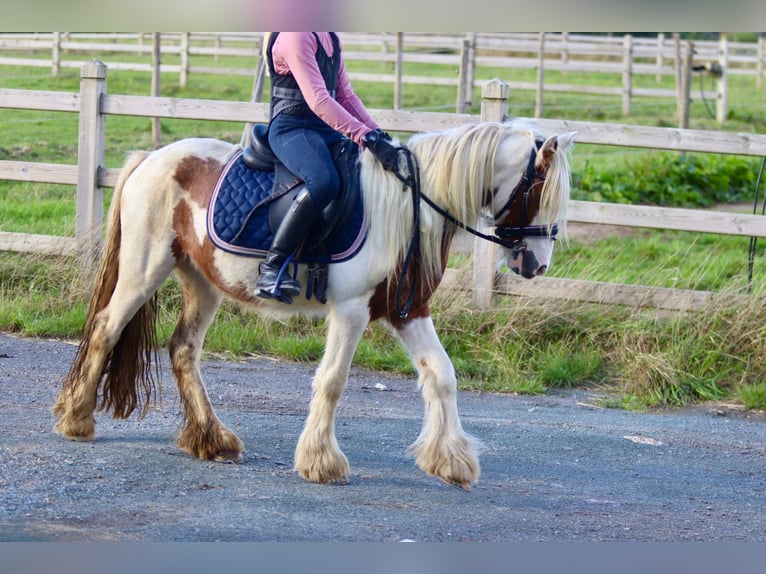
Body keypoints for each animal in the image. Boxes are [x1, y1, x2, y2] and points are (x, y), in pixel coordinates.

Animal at [51, 120, 572, 490]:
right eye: (537, 192)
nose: (538, 265)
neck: (409, 207)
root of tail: (151, 159)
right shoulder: (352, 309)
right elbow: (333, 380)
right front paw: (322, 462)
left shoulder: (408, 312)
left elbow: (442, 375)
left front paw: (452, 461)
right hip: (145, 270)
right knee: (106, 329)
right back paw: (77, 419)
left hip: (203, 282)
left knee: (183, 350)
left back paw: (211, 439)